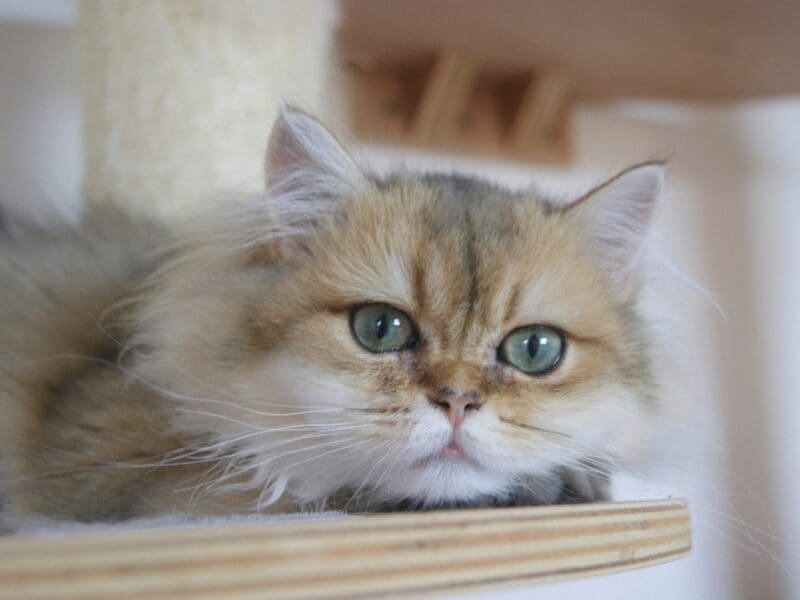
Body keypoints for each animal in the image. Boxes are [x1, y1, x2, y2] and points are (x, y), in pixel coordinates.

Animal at [0, 109, 664, 524]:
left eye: (534, 350)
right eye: (380, 329)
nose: (457, 401)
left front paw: (579, 479)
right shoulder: (121, 468)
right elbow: (316, 488)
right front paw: (550, 487)